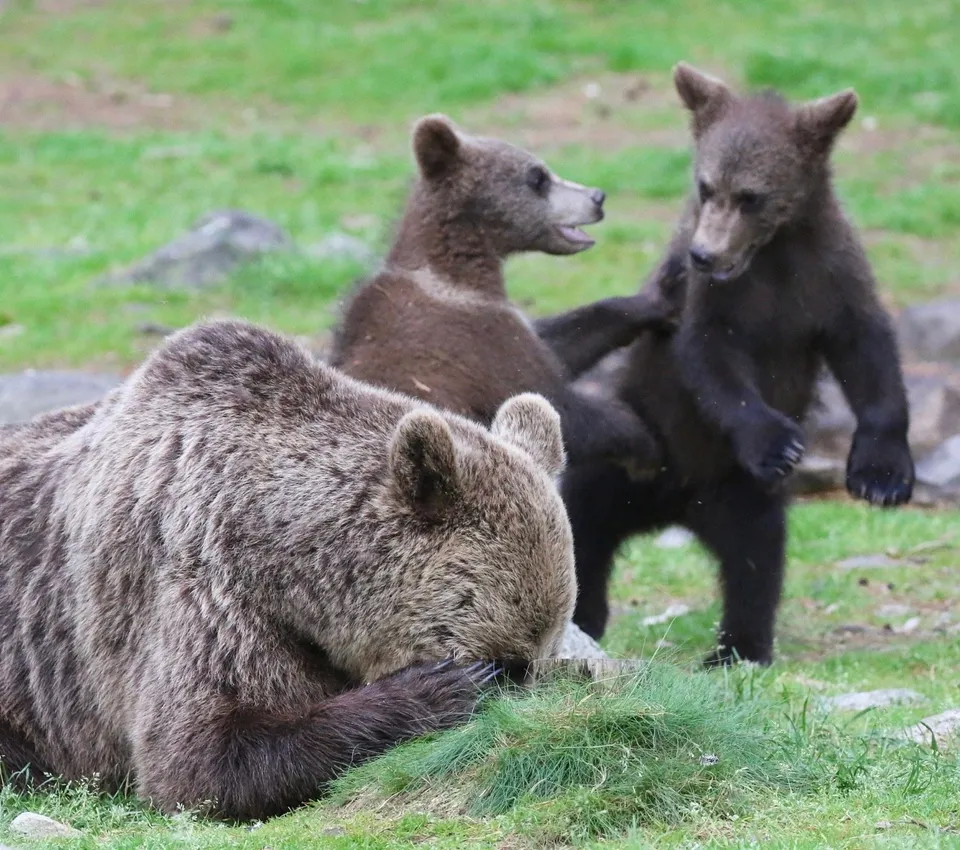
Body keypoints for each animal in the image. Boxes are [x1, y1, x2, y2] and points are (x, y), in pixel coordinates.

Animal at [0, 316, 576, 816]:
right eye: (509, 662)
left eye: (544, 651)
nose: (523, 716)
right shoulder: (198, 589)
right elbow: (197, 756)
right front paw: (440, 687)